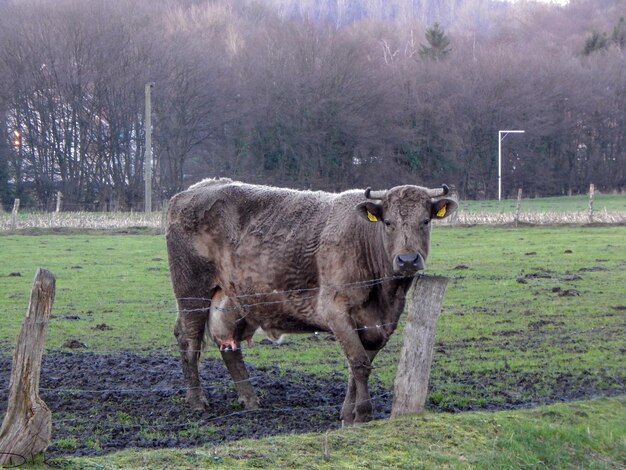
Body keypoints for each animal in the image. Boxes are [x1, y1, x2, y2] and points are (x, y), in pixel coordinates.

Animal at [166, 178, 456, 424]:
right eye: (388, 223)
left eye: (425, 221)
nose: (407, 260)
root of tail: (195, 188)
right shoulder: (335, 311)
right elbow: (359, 364)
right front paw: (363, 415)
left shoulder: (380, 324)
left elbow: (357, 367)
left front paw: (348, 415)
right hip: (192, 293)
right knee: (189, 341)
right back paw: (197, 400)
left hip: (235, 299)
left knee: (229, 345)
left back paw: (250, 400)